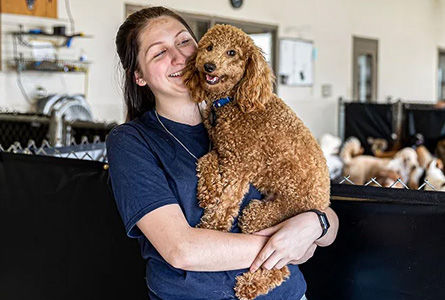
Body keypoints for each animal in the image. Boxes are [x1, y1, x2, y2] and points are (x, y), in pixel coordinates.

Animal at [181, 24, 330, 300]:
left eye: (232, 52)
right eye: (209, 47)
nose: (208, 66)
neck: (230, 101)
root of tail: (322, 203)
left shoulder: (240, 166)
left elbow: (226, 203)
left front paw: (212, 227)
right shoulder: (224, 149)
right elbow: (206, 159)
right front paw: (208, 191)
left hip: (258, 215)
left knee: (279, 265)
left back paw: (249, 285)